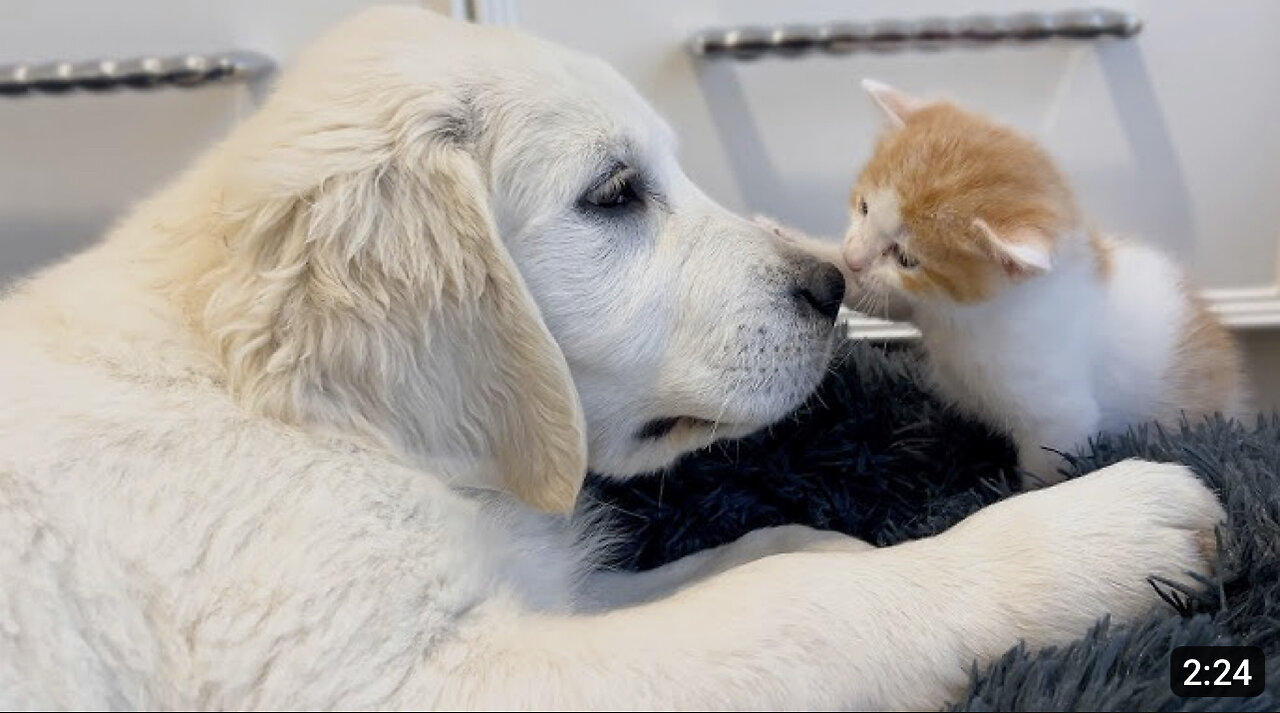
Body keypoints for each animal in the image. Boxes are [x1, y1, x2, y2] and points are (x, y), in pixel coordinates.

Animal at [844, 80, 1244, 486]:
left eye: (906, 259)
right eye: (864, 208)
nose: (852, 256)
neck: (965, 318)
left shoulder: (1060, 420)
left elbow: (1046, 473)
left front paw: (1017, 497)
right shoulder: (923, 303)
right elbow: (885, 298)